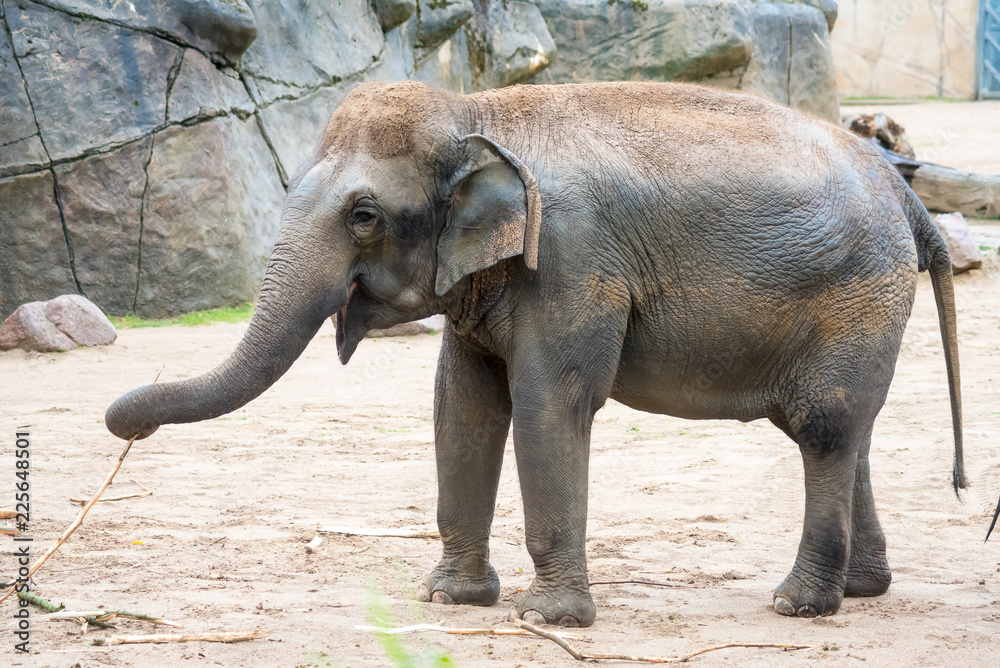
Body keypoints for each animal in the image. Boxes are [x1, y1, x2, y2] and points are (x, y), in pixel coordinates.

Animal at [106, 80, 965, 627]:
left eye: (363, 215)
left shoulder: (571, 259)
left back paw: (797, 605)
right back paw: (862, 590)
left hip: (855, 292)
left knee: (823, 427)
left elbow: (551, 403)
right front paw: (449, 600)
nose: (127, 427)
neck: (478, 111)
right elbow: (463, 406)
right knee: (845, 431)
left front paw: (545, 618)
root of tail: (905, 192)